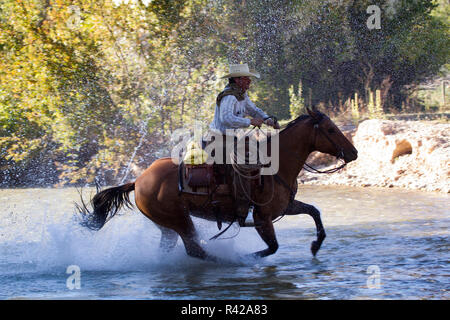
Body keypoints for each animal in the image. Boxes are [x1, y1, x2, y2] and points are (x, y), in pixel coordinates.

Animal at [77, 108, 358, 262]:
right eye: (331, 130)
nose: (353, 153)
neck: (276, 165)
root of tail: (138, 181)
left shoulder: (285, 207)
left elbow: (314, 212)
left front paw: (315, 245)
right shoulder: (263, 217)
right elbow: (272, 247)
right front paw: (244, 259)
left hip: (166, 226)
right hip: (180, 220)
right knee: (195, 250)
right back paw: (224, 261)